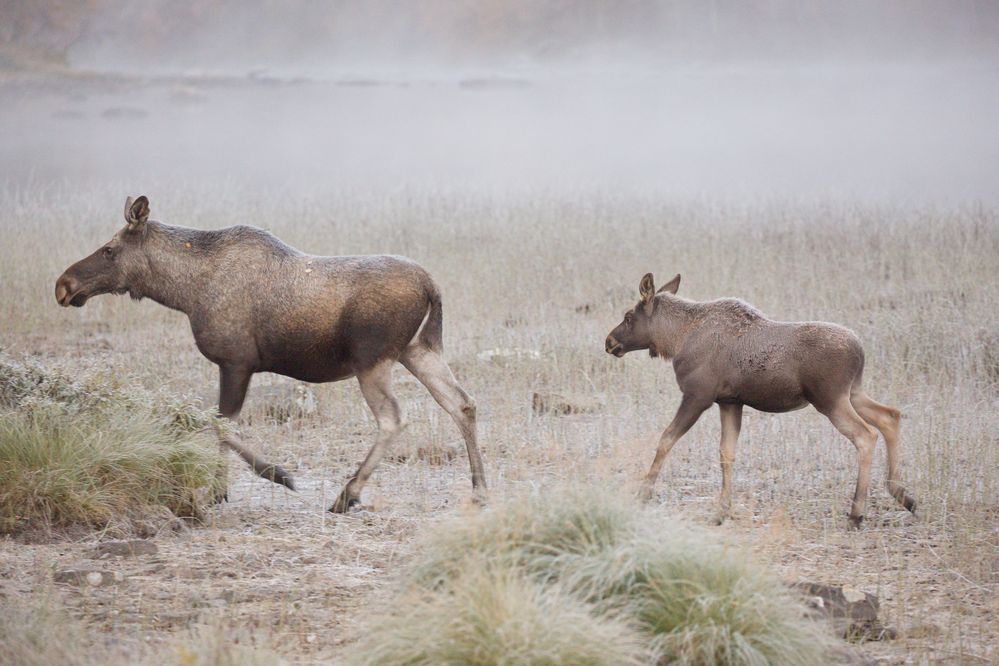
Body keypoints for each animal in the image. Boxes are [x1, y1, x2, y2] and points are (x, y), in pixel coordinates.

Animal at [56, 195, 486, 510]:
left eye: (109, 249)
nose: (63, 285)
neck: (184, 293)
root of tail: (432, 287)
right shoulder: (237, 365)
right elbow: (222, 424)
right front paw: (221, 489)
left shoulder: (236, 361)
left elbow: (219, 423)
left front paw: (276, 475)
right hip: (419, 350)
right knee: (462, 403)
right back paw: (480, 488)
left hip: (373, 360)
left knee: (394, 418)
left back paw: (347, 495)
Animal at [604, 272, 916, 528]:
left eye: (629, 316)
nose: (609, 342)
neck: (676, 339)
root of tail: (861, 350)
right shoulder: (729, 402)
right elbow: (726, 453)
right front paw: (722, 511)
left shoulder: (697, 396)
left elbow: (666, 439)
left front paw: (643, 494)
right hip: (853, 392)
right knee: (890, 416)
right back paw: (903, 495)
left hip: (830, 399)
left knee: (867, 435)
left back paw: (856, 513)